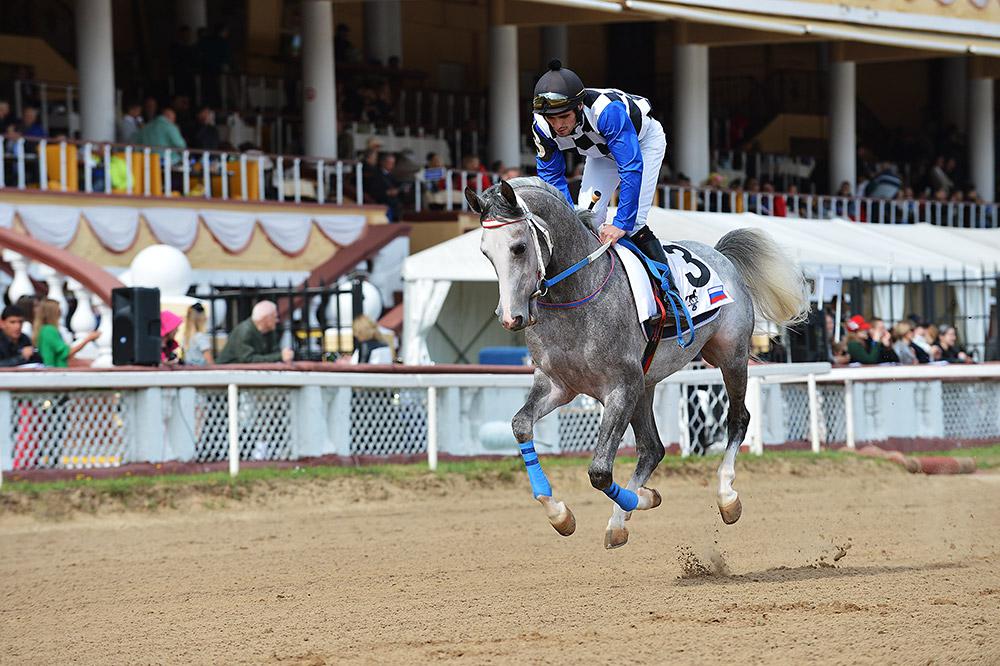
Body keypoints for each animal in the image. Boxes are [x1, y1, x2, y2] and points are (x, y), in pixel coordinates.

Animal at [464, 176, 808, 544]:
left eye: (518, 247)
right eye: (485, 252)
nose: (510, 317)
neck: (576, 295)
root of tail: (720, 254)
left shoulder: (620, 388)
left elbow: (599, 471)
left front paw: (637, 500)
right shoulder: (559, 385)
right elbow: (520, 425)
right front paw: (560, 514)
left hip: (730, 356)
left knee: (737, 419)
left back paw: (726, 496)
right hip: (647, 382)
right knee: (652, 447)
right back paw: (621, 518)